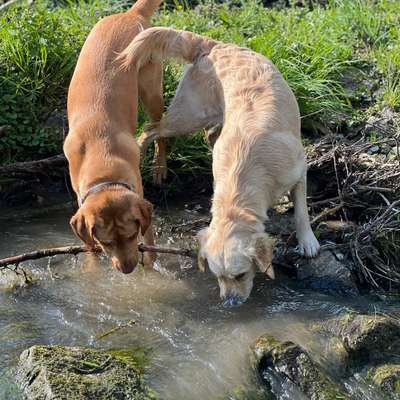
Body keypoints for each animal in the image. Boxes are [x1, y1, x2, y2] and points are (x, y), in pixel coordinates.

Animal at [63, 0, 164, 274]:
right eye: (105, 242)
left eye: (131, 235)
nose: (127, 269)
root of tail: (129, 14)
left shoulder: (140, 195)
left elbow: (150, 240)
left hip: (151, 90)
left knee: (160, 130)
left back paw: (159, 167)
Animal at [119, 27, 318, 304]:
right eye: (217, 277)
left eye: (241, 275)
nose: (228, 303)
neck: (244, 174)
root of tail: (214, 45)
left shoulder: (299, 168)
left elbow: (301, 211)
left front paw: (308, 241)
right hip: (189, 115)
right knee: (152, 129)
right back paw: (153, 164)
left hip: (197, 115)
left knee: (179, 131)